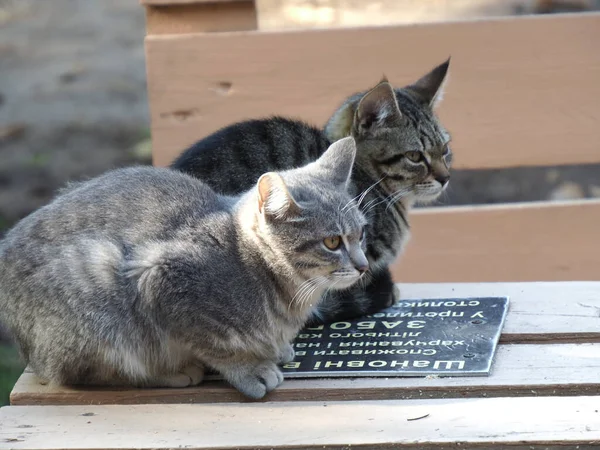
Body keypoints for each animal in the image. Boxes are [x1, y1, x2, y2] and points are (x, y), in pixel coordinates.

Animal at [0, 136, 366, 398]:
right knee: (83, 373)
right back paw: (169, 372)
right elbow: (211, 342)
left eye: (360, 233)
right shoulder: (160, 280)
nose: (363, 266)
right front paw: (249, 367)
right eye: (332, 242)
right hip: (96, 277)